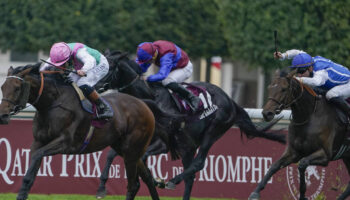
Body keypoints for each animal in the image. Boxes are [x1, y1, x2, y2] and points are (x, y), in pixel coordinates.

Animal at [0, 63, 159, 200]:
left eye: (17, 88)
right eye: (2, 87)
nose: (3, 115)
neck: (52, 103)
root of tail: (144, 105)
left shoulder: (65, 142)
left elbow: (37, 155)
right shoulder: (38, 142)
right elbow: (32, 166)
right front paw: (22, 193)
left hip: (131, 149)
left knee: (133, 184)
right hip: (126, 149)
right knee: (147, 178)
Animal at [94, 50, 286, 200]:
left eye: (109, 68)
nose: (94, 85)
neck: (150, 98)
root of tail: (231, 100)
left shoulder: (163, 144)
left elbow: (142, 157)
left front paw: (154, 180)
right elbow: (112, 154)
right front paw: (102, 186)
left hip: (212, 131)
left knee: (199, 163)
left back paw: (172, 181)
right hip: (189, 146)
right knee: (191, 175)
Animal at [247, 70, 350, 200]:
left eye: (284, 89)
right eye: (269, 87)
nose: (267, 113)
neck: (309, 117)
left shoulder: (325, 155)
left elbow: (302, 164)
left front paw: (302, 195)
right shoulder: (294, 152)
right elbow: (274, 166)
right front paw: (255, 192)